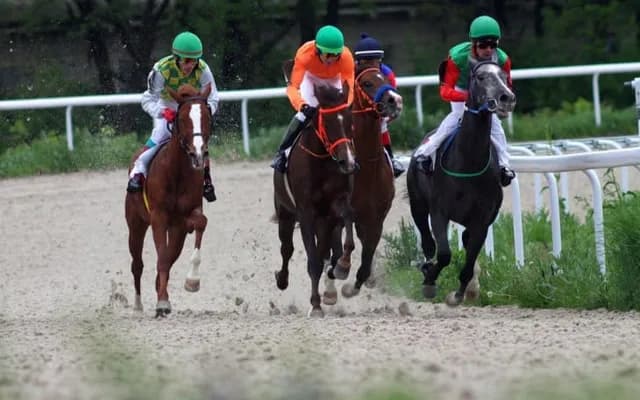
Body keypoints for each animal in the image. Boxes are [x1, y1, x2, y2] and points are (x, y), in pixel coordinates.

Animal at [125, 84, 212, 317]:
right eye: (181, 118)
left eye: (207, 116)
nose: (198, 153)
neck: (177, 172)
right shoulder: (158, 216)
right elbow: (162, 257)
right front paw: (162, 301)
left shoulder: (184, 218)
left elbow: (200, 223)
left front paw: (191, 281)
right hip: (135, 224)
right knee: (137, 264)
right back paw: (138, 305)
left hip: (175, 229)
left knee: (169, 255)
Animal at [273, 81, 357, 318]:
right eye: (327, 123)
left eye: (350, 121)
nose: (349, 162)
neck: (322, 160)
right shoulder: (306, 212)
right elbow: (312, 260)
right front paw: (316, 305)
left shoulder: (336, 205)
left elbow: (347, 219)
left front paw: (343, 265)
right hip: (285, 212)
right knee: (287, 248)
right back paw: (282, 279)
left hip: (324, 220)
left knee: (325, 250)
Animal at [323, 65, 404, 303]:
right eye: (367, 83)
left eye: (386, 79)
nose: (395, 100)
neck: (366, 168)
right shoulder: (340, 211)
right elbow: (341, 247)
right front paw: (340, 269)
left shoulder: (376, 217)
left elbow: (368, 252)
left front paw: (355, 285)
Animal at [406, 60, 516, 306]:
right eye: (480, 77)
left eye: (504, 76)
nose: (506, 97)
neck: (468, 162)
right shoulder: (439, 211)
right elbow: (444, 254)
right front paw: (430, 279)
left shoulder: (482, 219)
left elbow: (469, 259)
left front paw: (460, 293)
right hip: (417, 203)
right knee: (428, 241)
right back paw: (427, 266)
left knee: (465, 240)